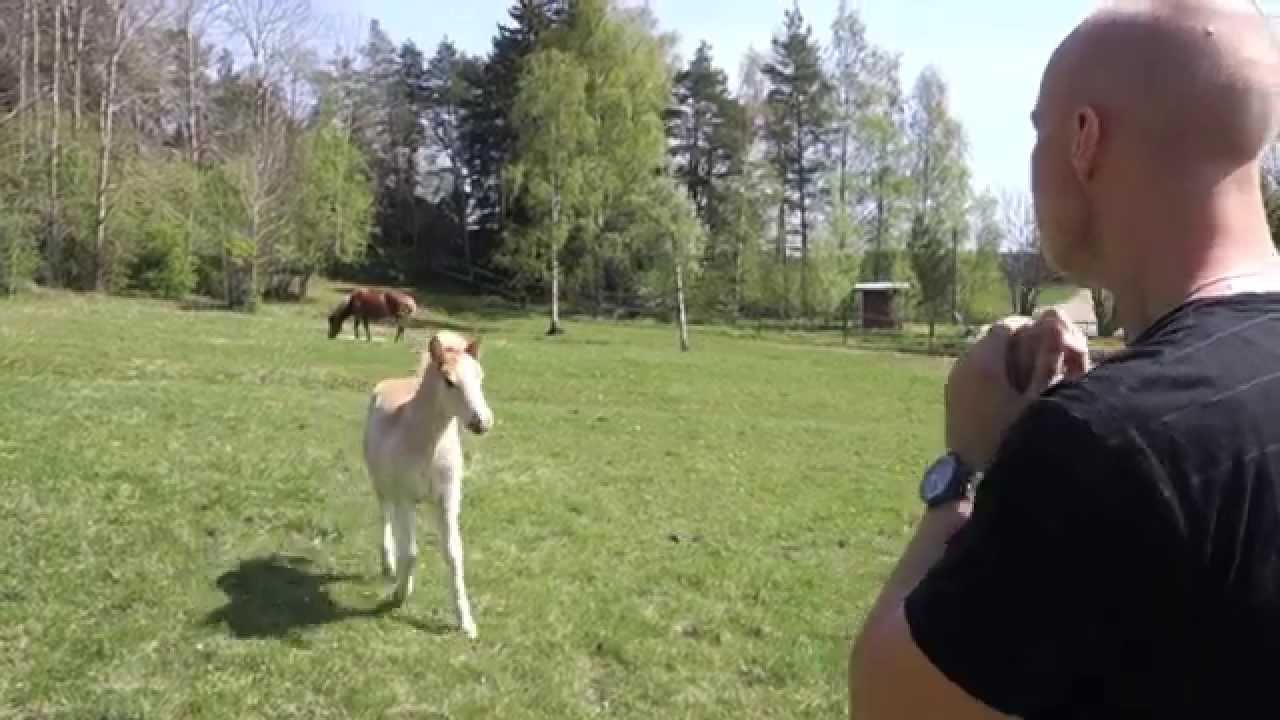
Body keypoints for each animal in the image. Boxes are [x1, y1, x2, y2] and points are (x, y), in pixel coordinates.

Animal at [366, 327, 499, 635]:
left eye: (481, 376)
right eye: (449, 381)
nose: (483, 422)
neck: (428, 445)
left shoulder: (447, 500)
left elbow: (453, 554)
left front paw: (466, 622)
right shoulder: (405, 498)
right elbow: (411, 552)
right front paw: (399, 595)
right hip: (383, 488)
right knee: (386, 518)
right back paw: (389, 565)